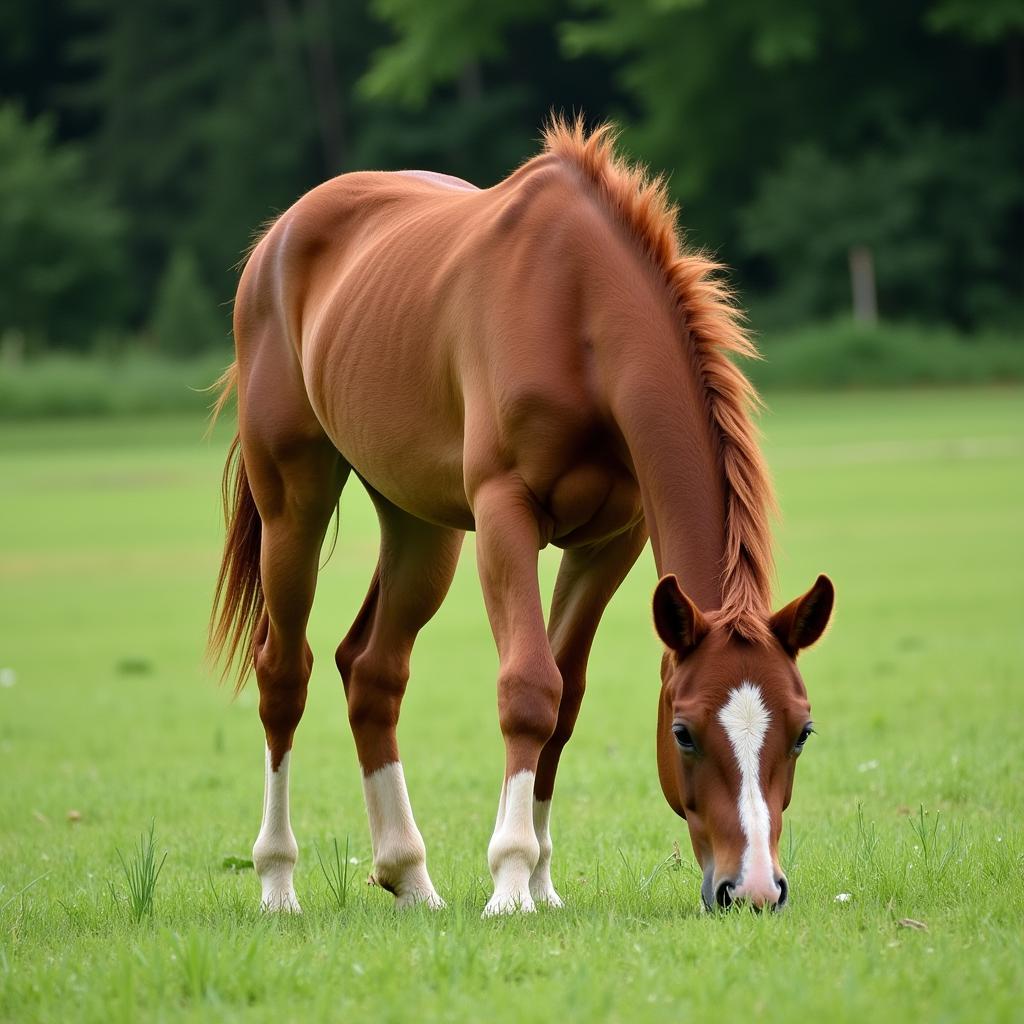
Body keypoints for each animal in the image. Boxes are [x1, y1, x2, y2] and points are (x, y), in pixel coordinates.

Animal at [205, 116, 831, 917]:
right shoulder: (507, 517)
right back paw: (278, 881)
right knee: (285, 673)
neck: (578, 308)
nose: (750, 888)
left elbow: (566, 700)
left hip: (422, 529)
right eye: (684, 732)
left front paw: (540, 880)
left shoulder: (610, 543)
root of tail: (278, 239)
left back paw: (409, 875)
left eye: (802, 731)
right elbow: (530, 689)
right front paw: (509, 881)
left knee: (372, 671)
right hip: (295, 501)